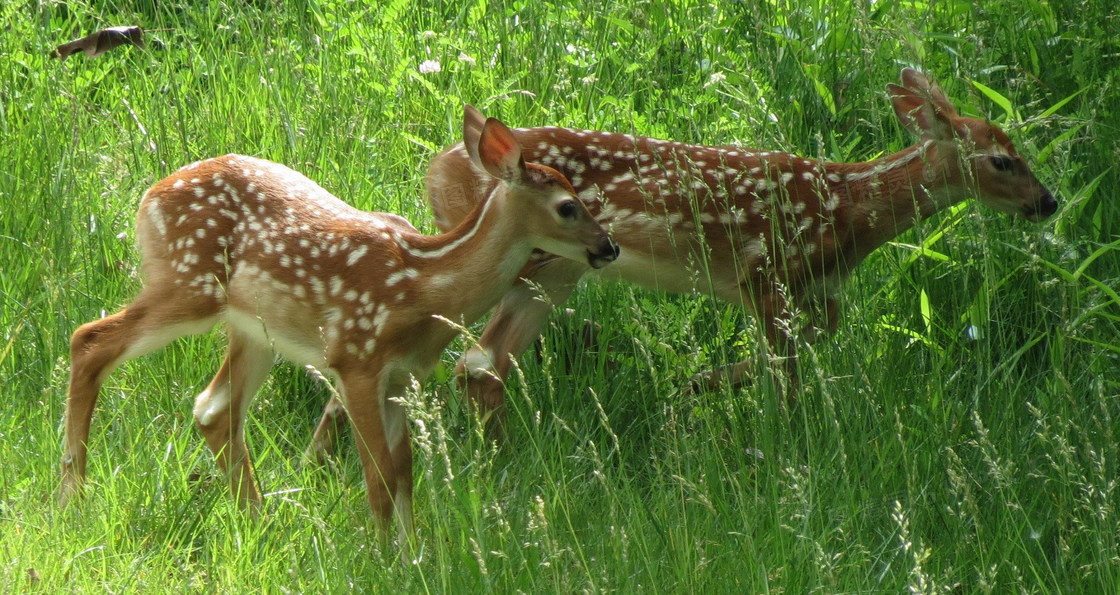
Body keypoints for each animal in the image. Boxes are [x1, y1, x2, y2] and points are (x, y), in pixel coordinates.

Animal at [56, 103, 622, 553]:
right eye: (568, 207)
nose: (609, 247)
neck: (424, 285)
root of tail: (148, 196)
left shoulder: (401, 377)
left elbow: (405, 470)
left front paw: (413, 554)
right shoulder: (355, 359)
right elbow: (379, 473)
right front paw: (383, 557)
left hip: (253, 328)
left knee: (213, 408)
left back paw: (262, 522)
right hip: (188, 282)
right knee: (89, 339)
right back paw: (71, 498)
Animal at [306, 67, 1057, 448]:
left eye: (1016, 147)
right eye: (1002, 160)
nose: (1048, 202)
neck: (849, 209)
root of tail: (441, 164)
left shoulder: (818, 289)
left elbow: (821, 333)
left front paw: (699, 387)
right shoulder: (767, 269)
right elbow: (786, 368)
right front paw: (777, 430)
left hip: (558, 269)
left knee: (483, 362)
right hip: (518, 260)